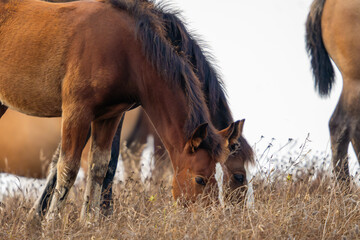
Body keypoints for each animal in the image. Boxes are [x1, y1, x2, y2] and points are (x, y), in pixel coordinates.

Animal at [0, 0, 239, 223]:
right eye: (200, 179)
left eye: (226, 177)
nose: (212, 217)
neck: (125, 50)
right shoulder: (76, 112)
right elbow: (67, 169)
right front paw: (51, 223)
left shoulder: (109, 116)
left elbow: (100, 167)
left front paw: (89, 223)